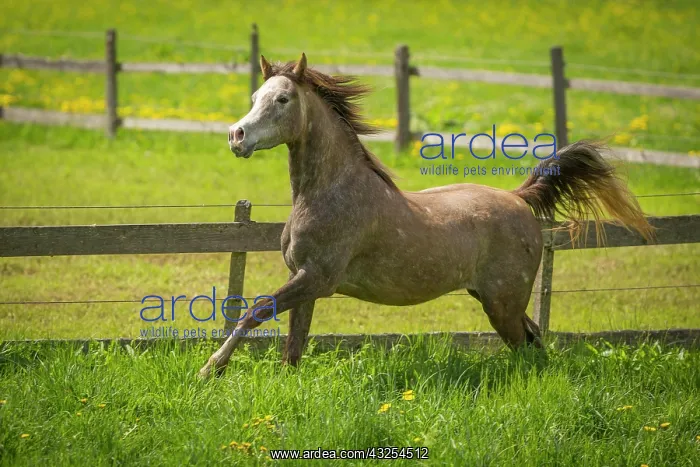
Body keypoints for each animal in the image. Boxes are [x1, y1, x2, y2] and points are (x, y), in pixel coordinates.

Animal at [198, 53, 653, 378]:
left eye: (283, 99)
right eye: (254, 98)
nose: (236, 136)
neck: (331, 192)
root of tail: (519, 198)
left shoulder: (317, 278)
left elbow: (254, 313)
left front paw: (210, 369)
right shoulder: (304, 280)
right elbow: (293, 347)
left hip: (501, 303)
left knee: (527, 345)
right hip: (496, 298)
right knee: (534, 339)